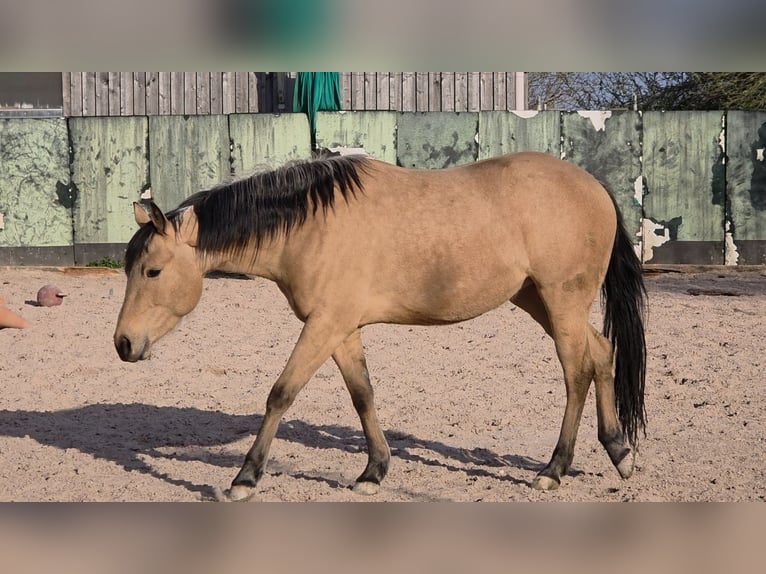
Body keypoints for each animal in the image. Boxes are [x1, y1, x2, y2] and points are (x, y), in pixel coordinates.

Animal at [114, 151, 646, 501]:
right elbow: (362, 395)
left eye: (152, 271)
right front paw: (374, 470)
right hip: (540, 300)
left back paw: (554, 469)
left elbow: (281, 394)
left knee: (576, 374)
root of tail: (594, 186)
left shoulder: (325, 325)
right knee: (601, 353)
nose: (123, 343)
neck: (313, 225)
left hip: (561, 301)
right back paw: (618, 451)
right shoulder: (341, 327)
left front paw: (245, 478)